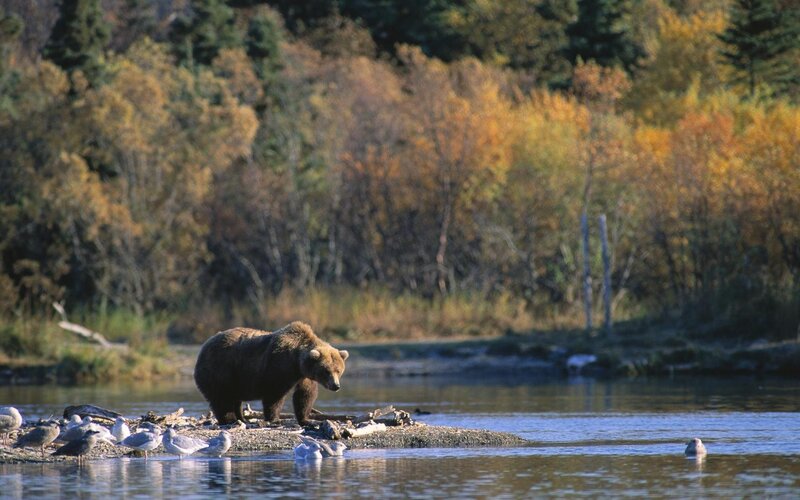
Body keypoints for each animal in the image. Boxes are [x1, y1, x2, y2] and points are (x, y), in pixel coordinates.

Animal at [194, 321, 348, 426]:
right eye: (326, 371)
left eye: (338, 370)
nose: (336, 385)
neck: (296, 361)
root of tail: (204, 346)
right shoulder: (278, 366)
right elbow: (274, 394)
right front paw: (274, 418)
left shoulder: (304, 376)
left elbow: (305, 395)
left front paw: (306, 419)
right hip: (220, 369)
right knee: (222, 397)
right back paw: (230, 419)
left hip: (234, 377)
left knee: (235, 398)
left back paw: (242, 418)